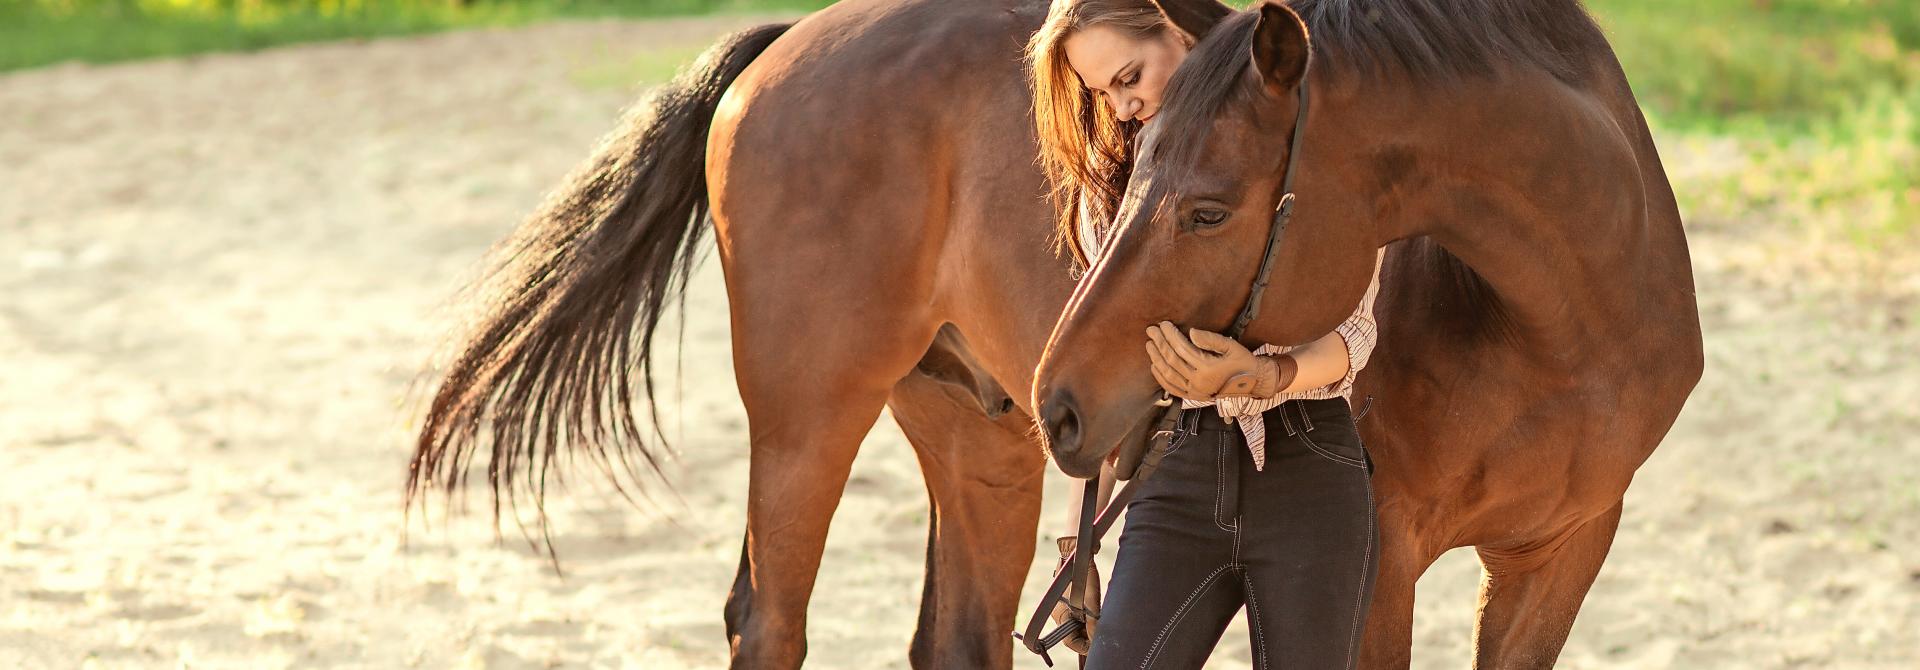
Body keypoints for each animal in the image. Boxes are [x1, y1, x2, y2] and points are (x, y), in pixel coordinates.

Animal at [408, 1, 1697, 668]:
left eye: (1207, 207)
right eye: (1131, 162)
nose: (1069, 393)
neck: (1563, 325)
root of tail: (782, 46)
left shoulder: (1566, 552)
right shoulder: (1384, 558)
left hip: (976, 431)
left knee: (954, 638)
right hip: (808, 422)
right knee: (769, 619)